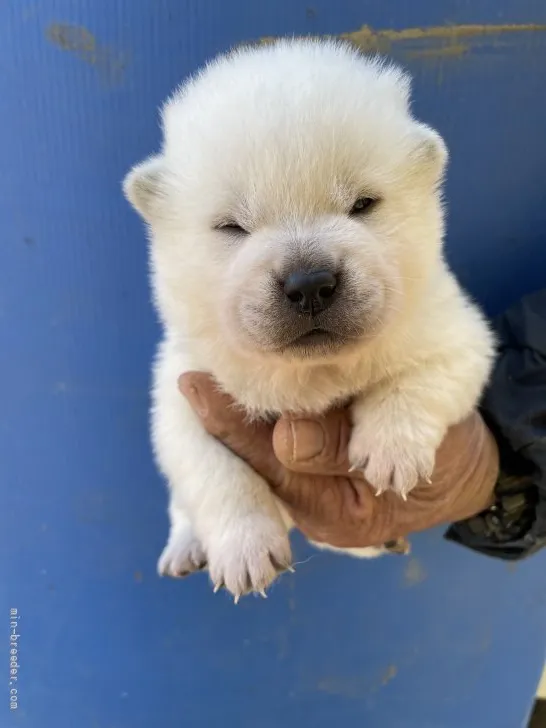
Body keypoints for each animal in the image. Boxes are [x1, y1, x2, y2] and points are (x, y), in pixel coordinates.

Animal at [124, 37, 492, 600]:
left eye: (363, 204)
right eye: (231, 226)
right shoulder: (183, 385)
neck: (311, 375)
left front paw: (389, 452)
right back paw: (185, 548)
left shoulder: (454, 329)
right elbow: (213, 469)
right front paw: (245, 551)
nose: (309, 284)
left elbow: (420, 379)